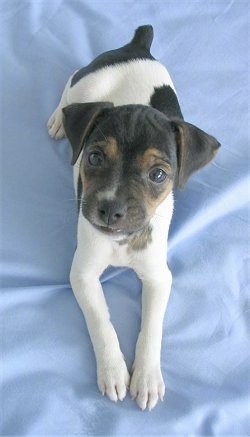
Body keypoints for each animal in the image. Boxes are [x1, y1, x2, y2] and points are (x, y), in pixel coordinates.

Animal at [47, 25, 220, 410]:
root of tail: (136, 45)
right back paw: (57, 119)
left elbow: (151, 328)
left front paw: (147, 377)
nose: (110, 209)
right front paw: (113, 371)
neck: (122, 240)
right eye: (94, 158)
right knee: (71, 83)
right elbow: (101, 321)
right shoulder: (83, 274)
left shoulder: (159, 278)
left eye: (158, 175)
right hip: (88, 84)